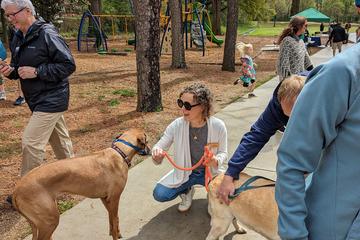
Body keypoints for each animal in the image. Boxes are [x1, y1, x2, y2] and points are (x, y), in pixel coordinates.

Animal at [12, 128, 150, 240]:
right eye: (147, 141)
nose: (149, 150)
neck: (120, 152)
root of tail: (16, 190)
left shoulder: (106, 199)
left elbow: (113, 221)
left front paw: (116, 232)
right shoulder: (114, 199)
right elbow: (115, 221)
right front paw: (116, 235)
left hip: (39, 221)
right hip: (50, 220)